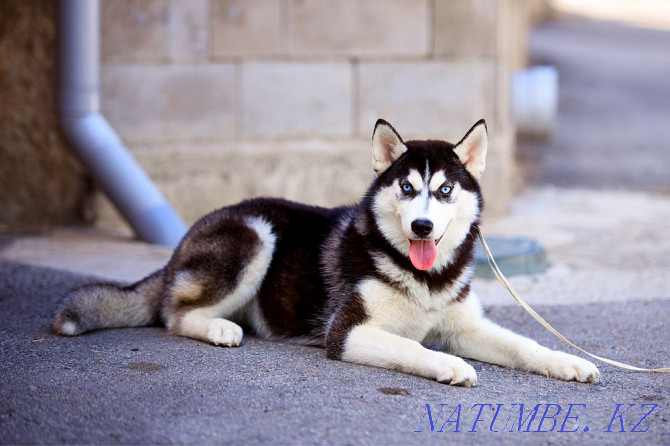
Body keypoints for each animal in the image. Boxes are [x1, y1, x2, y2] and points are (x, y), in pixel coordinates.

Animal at [51, 120, 600, 386]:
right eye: (406, 187)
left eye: (444, 191)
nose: (422, 225)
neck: (422, 278)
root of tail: (187, 237)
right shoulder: (348, 332)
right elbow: (414, 347)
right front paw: (448, 366)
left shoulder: (464, 327)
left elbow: (524, 345)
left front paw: (566, 362)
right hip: (256, 235)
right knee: (174, 313)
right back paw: (218, 327)